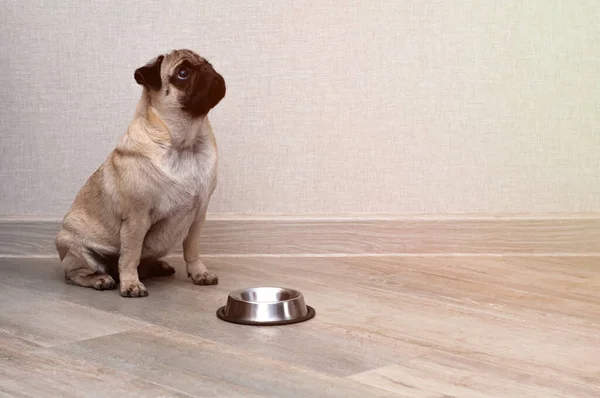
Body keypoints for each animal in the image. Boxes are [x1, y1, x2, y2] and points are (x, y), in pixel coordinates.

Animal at [55, 48, 227, 296]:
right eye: (183, 73)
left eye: (208, 64)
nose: (207, 69)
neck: (185, 144)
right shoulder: (136, 218)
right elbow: (130, 256)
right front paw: (131, 284)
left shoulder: (198, 216)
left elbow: (192, 250)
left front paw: (199, 273)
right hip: (77, 250)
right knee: (75, 274)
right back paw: (101, 279)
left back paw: (157, 266)